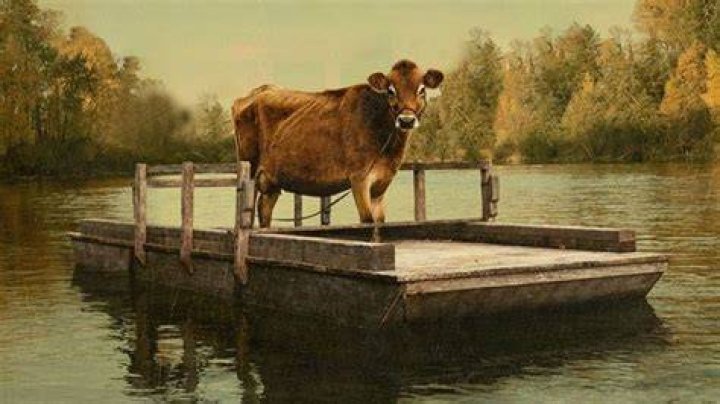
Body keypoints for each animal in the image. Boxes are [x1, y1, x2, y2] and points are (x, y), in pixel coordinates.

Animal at [232, 59, 443, 228]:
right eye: (391, 90)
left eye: (421, 89)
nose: (406, 120)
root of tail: (259, 90)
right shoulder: (359, 178)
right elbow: (367, 220)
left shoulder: (382, 183)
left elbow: (380, 220)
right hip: (251, 169)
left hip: (272, 180)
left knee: (264, 208)